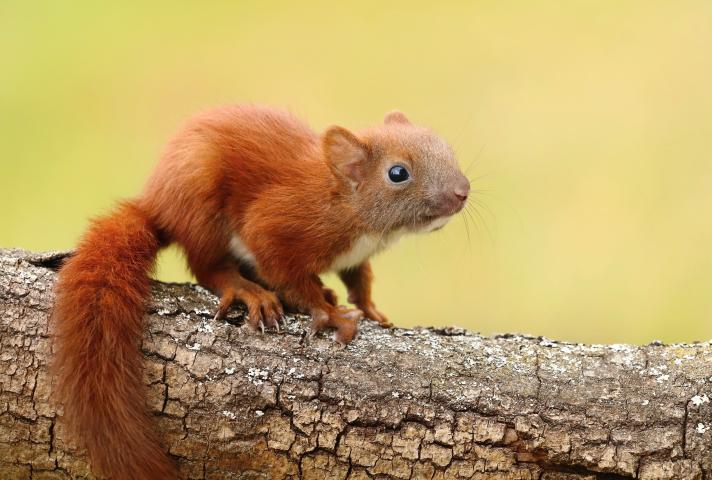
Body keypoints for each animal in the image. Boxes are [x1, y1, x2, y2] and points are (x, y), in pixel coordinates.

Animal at [52, 104, 470, 479]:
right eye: (398, 173)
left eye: (446, 147)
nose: (463, 191)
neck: (353, 213)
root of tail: (157, 203)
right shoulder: (275, 224)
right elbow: (290, 274)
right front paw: (330, 313)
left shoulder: (356, 257)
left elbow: (359, 281)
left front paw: (369, 310)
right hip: (200, 205)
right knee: (208, 266)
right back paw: (249, 290)